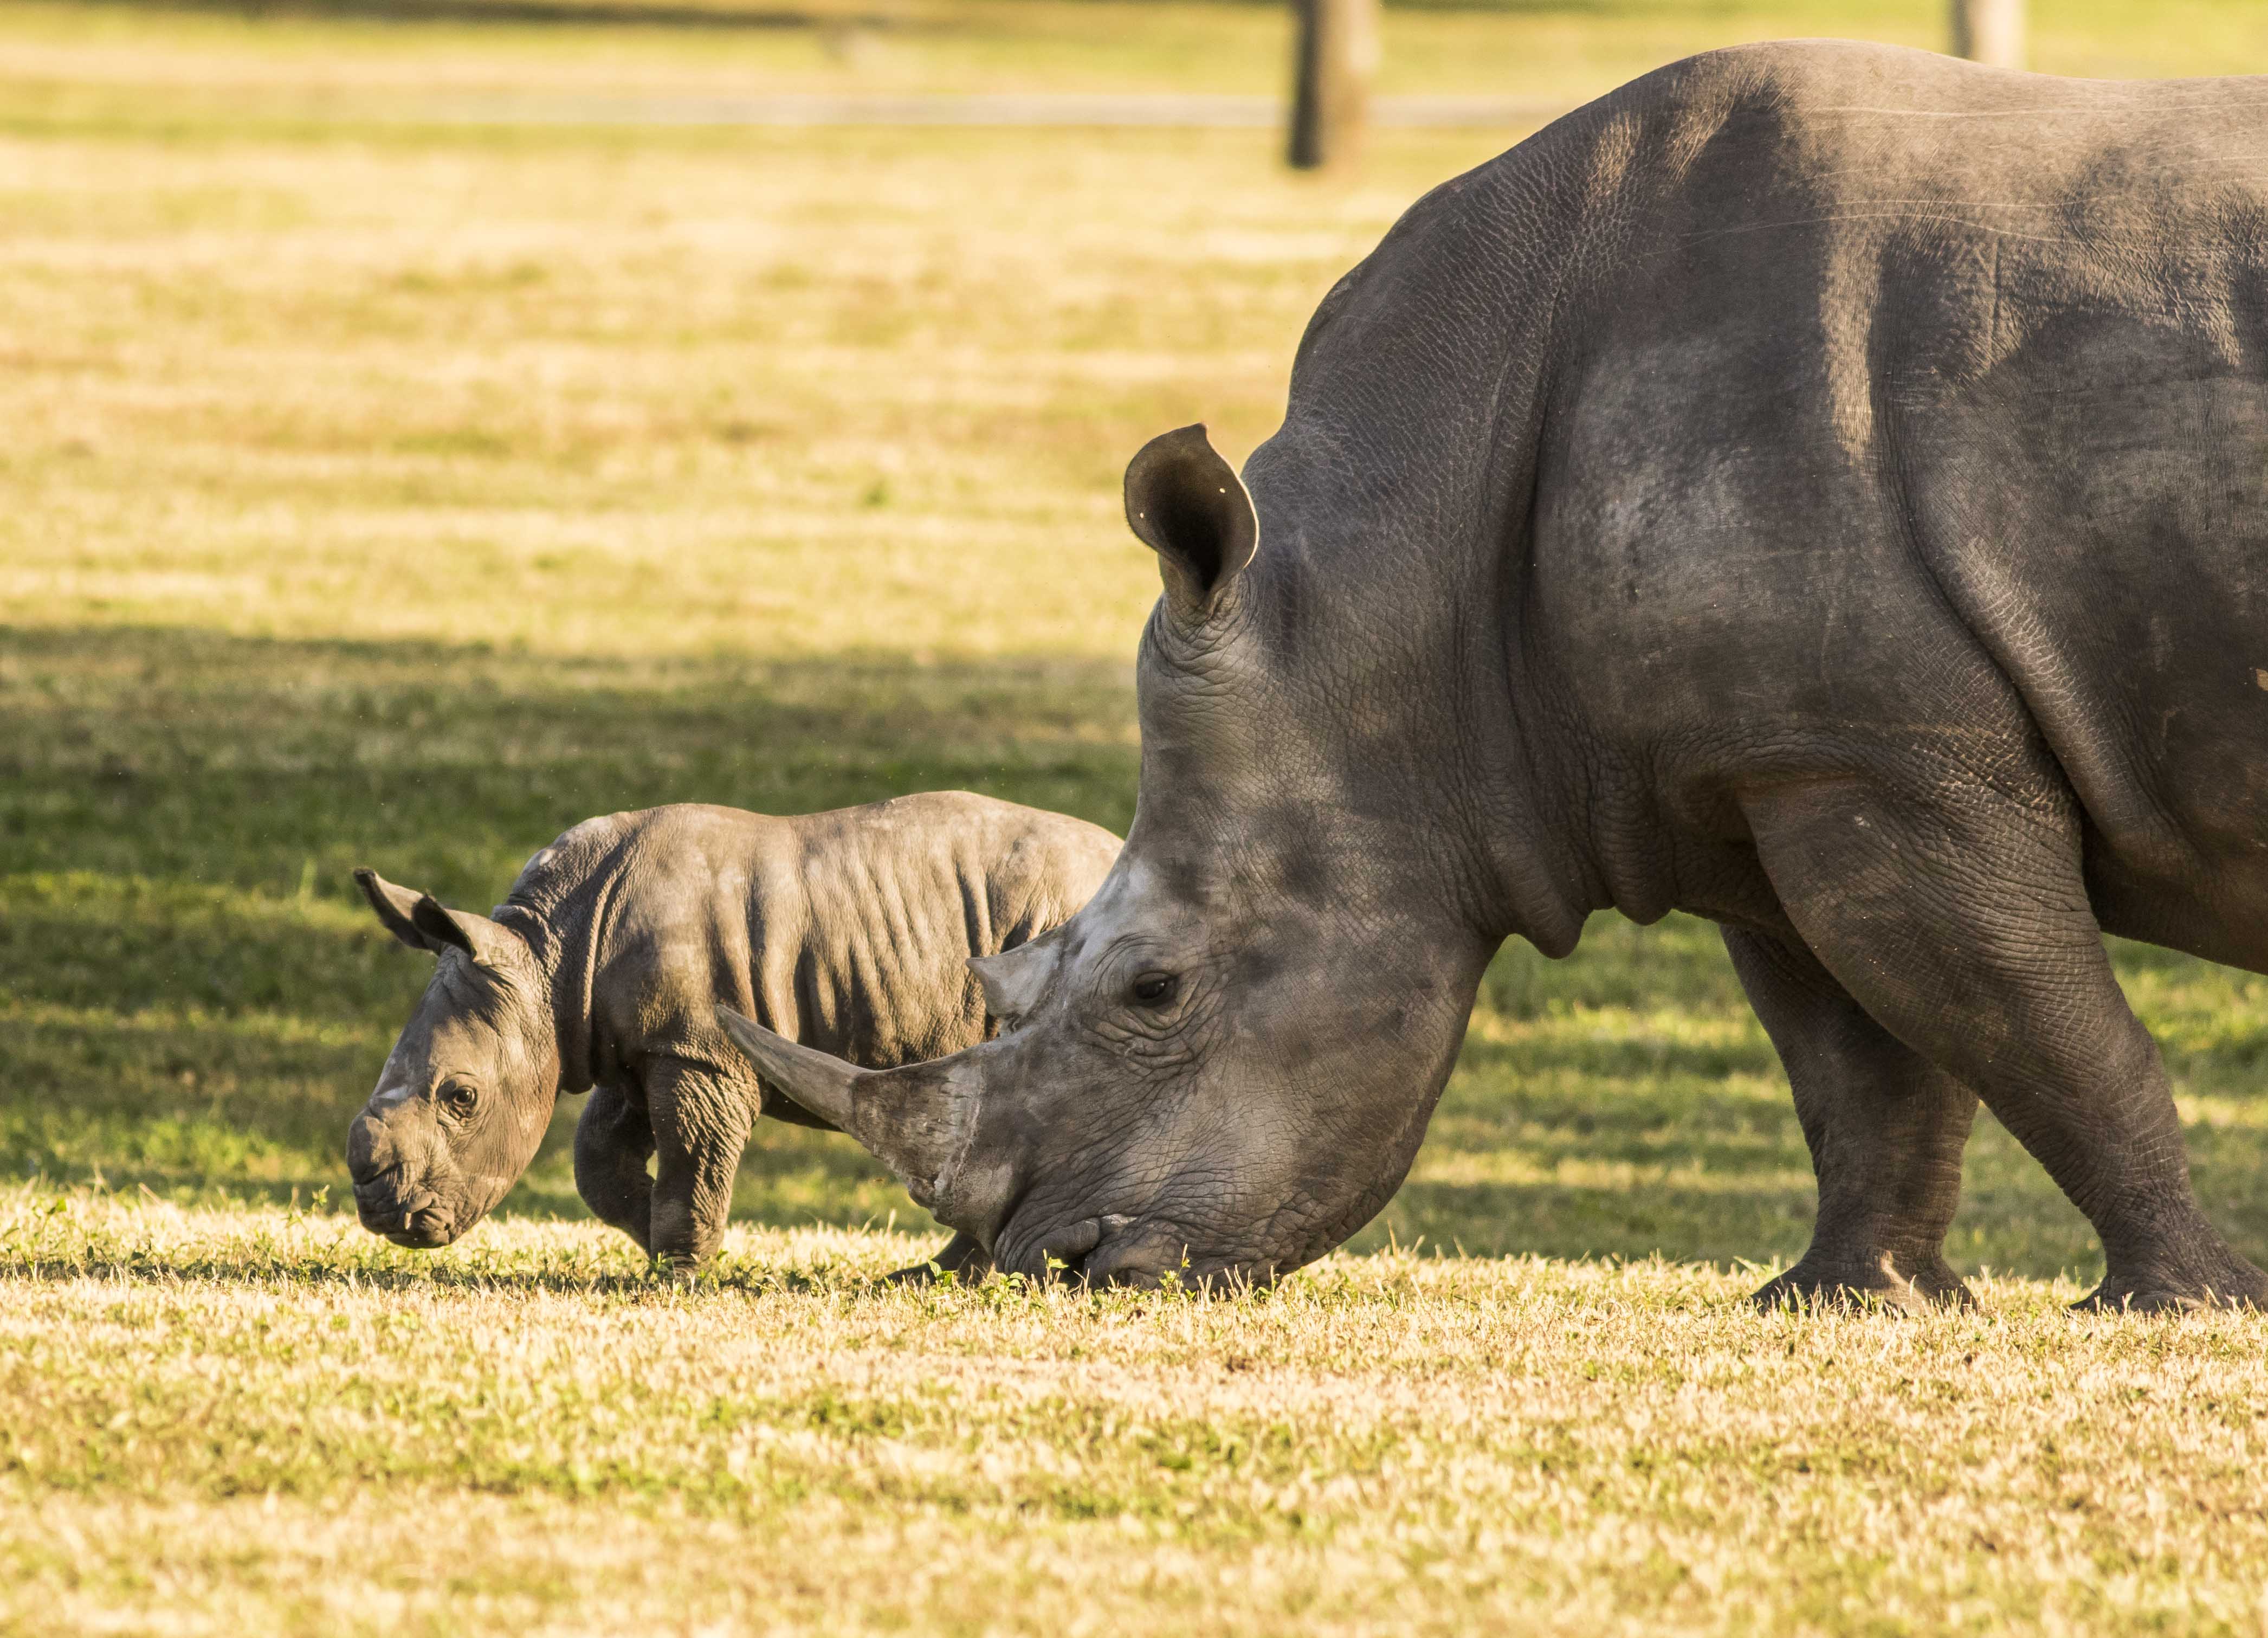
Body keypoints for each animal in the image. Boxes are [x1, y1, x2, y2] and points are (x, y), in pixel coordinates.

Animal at [342, 789, 1116, 1261]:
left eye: (462, 1098)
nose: (380, 1211)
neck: (549, 956)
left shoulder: (699, 1051)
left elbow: (693, 1154)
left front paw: (679, 1268)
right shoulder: (638, 1043)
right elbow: (598, 1161)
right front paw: (655, 1236)